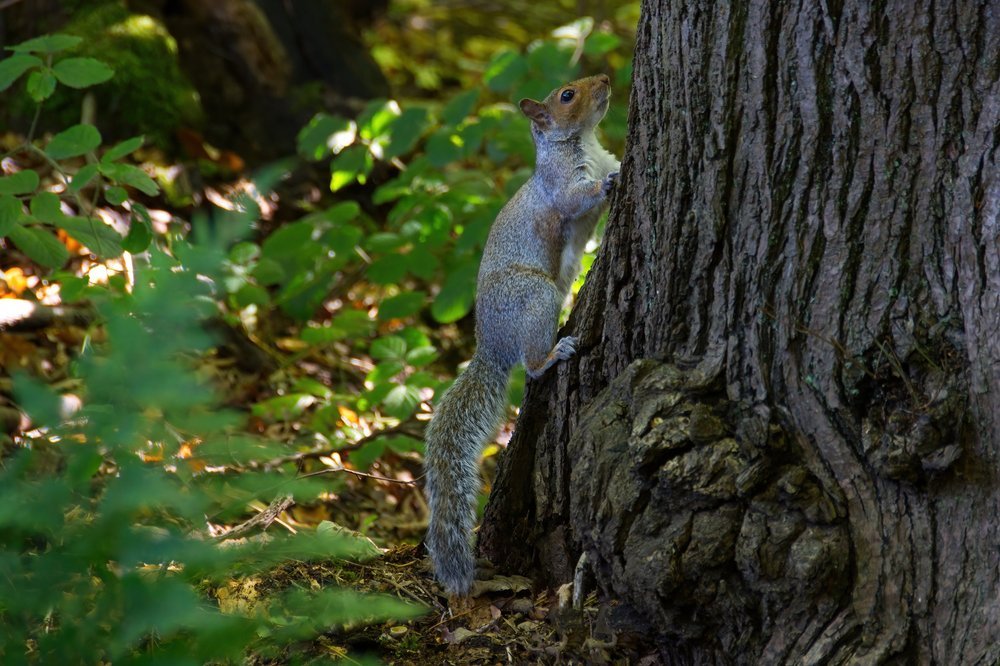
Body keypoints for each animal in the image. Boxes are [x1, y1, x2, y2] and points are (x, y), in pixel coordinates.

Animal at [424, 74, 620, 596]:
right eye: (567, 95)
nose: (606, 79)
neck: (584, 142)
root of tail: (491, 342)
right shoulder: (560, 183)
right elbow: (575, 198)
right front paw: (609, 184)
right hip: (534, 298)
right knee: (530, 368)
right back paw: (554, 353)